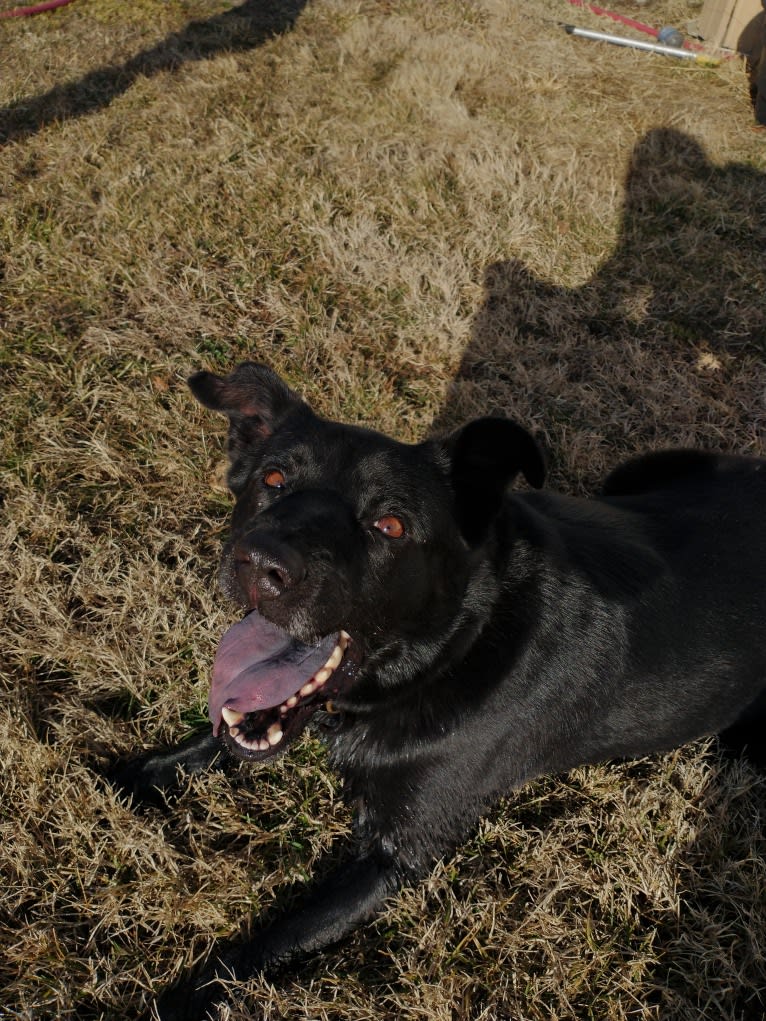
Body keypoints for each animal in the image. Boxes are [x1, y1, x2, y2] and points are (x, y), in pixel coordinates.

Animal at [113, 363, 766, 1016]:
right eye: (272, 480)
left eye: (391, 525)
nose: (260, 564)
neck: (457, 644)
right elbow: (216, 736)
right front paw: (145, 773)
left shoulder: (399, 854)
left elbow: (268, 943)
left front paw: (181, 999)